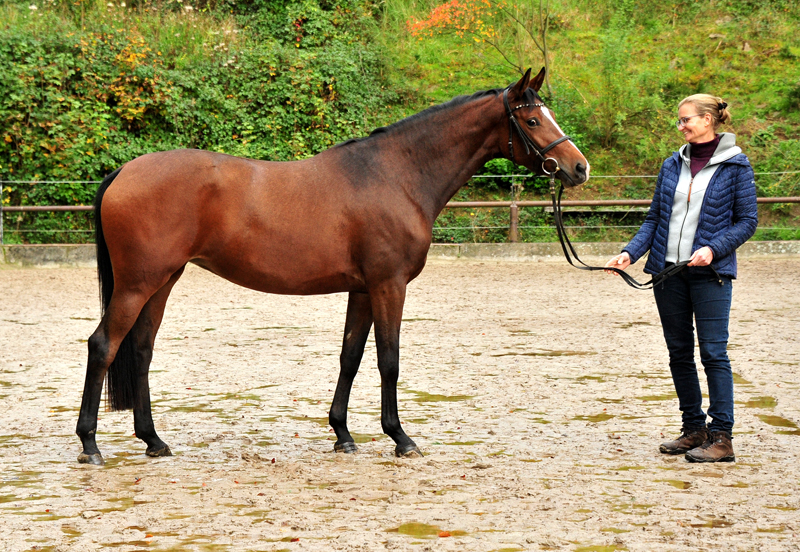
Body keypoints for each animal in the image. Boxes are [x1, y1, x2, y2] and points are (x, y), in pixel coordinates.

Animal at [76, 69, 588, 466]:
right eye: (532, 118)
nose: (578, 168)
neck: (396, 175)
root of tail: (123, 172)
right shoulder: (388, 285)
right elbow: (388, 360)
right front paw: (401, 438)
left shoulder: (362, 289)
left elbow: (351, 357)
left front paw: (343, 434)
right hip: (138, 283)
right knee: (103, 345)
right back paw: (90, 445)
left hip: (162, 281)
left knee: (141, 350)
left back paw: (153, 441)